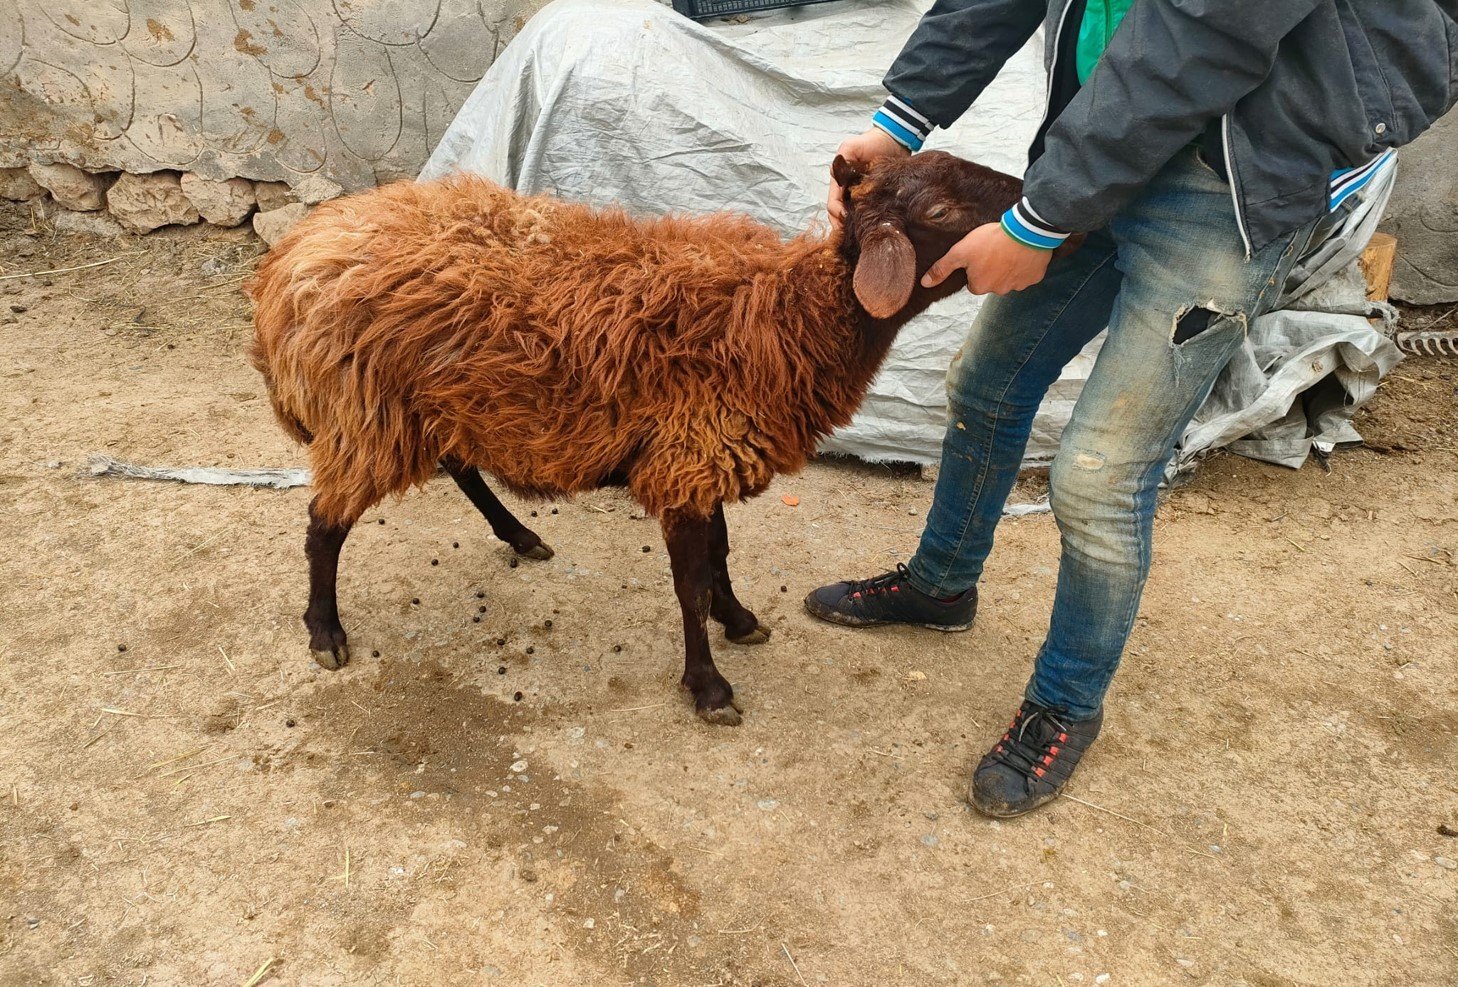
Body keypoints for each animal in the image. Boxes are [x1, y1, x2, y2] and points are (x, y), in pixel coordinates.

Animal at [244, 152, 1032, 723]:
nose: (1031, 195)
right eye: (938, 209)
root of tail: (287, 265)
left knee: (460, 467)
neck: (788, 318)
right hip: (368, 412)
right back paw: (325, 632)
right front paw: (709, 687)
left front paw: (738, 618)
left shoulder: (701, 453)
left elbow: (719, 555)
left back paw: (520, 534)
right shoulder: (689, 459)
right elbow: (690, 582)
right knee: (324, 524)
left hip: (440, 402)